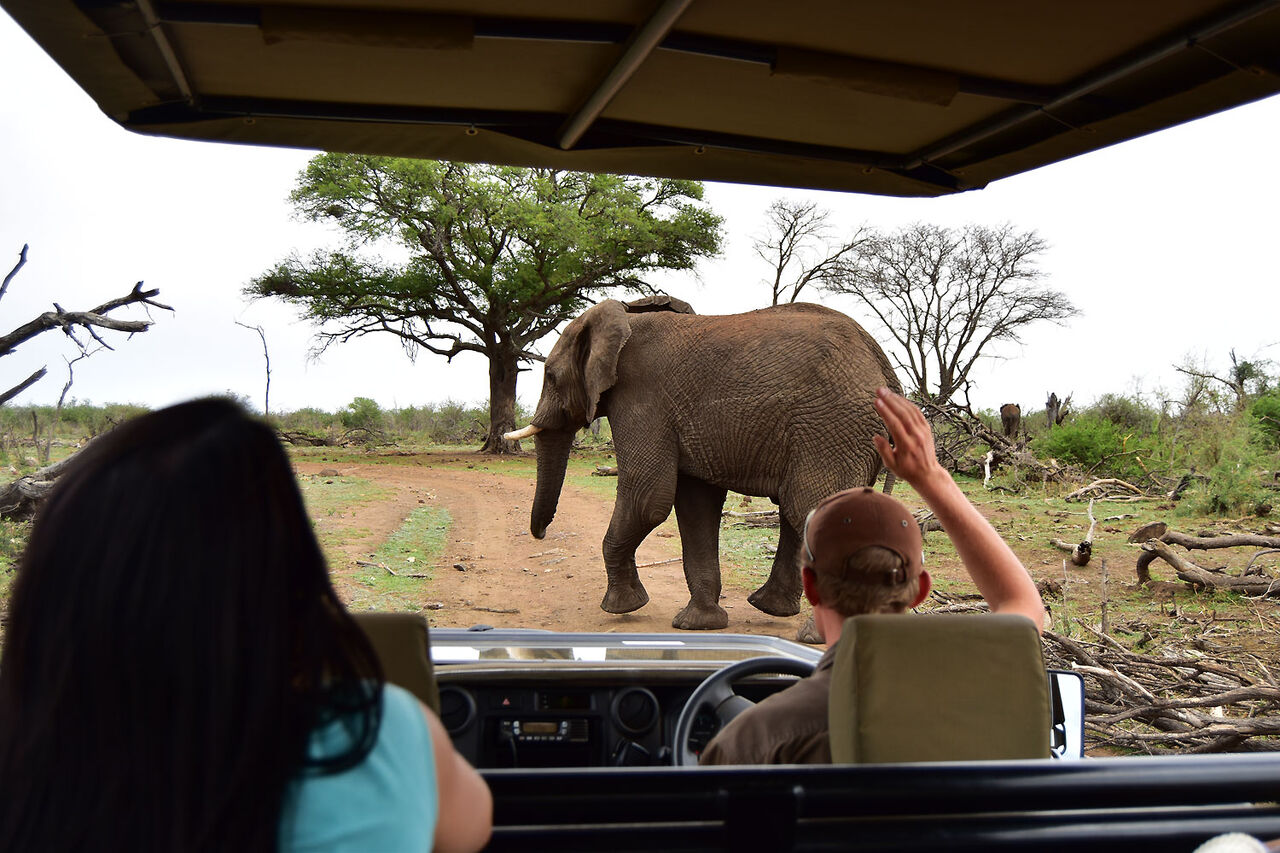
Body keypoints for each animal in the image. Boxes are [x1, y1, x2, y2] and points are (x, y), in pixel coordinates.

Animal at [505, 296, 902, 636]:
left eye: (550, 376)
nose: (541, 533)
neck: (625, 314)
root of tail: (884, 368)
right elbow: (696, 504)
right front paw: (698, 624)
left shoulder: (641, 397)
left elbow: (649, 496)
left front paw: (620, 608)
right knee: (799, 511)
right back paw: (774, 609)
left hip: (831, 426)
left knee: (811, 508)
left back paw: (815, 633)